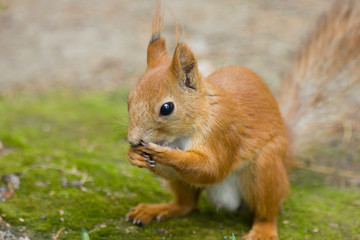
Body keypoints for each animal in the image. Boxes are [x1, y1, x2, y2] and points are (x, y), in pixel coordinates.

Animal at [126, 0, 360, 239]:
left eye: (166, 108)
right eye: (129, 99)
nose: (133, 140)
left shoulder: (221, 130)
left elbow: (212, 168)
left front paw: (165, 154)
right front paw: (133, 156)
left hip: (265, 168)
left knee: (267, 212)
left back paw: (263, 230)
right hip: (185, 185)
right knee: (186, 204)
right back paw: (158, 209)